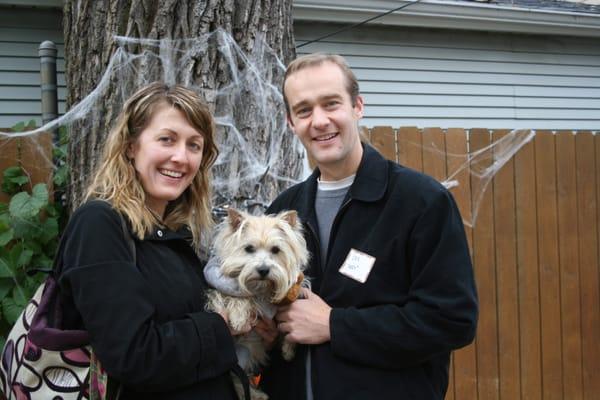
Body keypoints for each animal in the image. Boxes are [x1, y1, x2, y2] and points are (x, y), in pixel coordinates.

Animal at [205, 208, 310, 398]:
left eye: (276, 249)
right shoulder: (219, 286)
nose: (263, 270)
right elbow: (234, 296)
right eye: (248, 248)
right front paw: (238, 318)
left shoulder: (292, 294)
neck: (262, 288)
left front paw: (288, 348)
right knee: (236, 378)